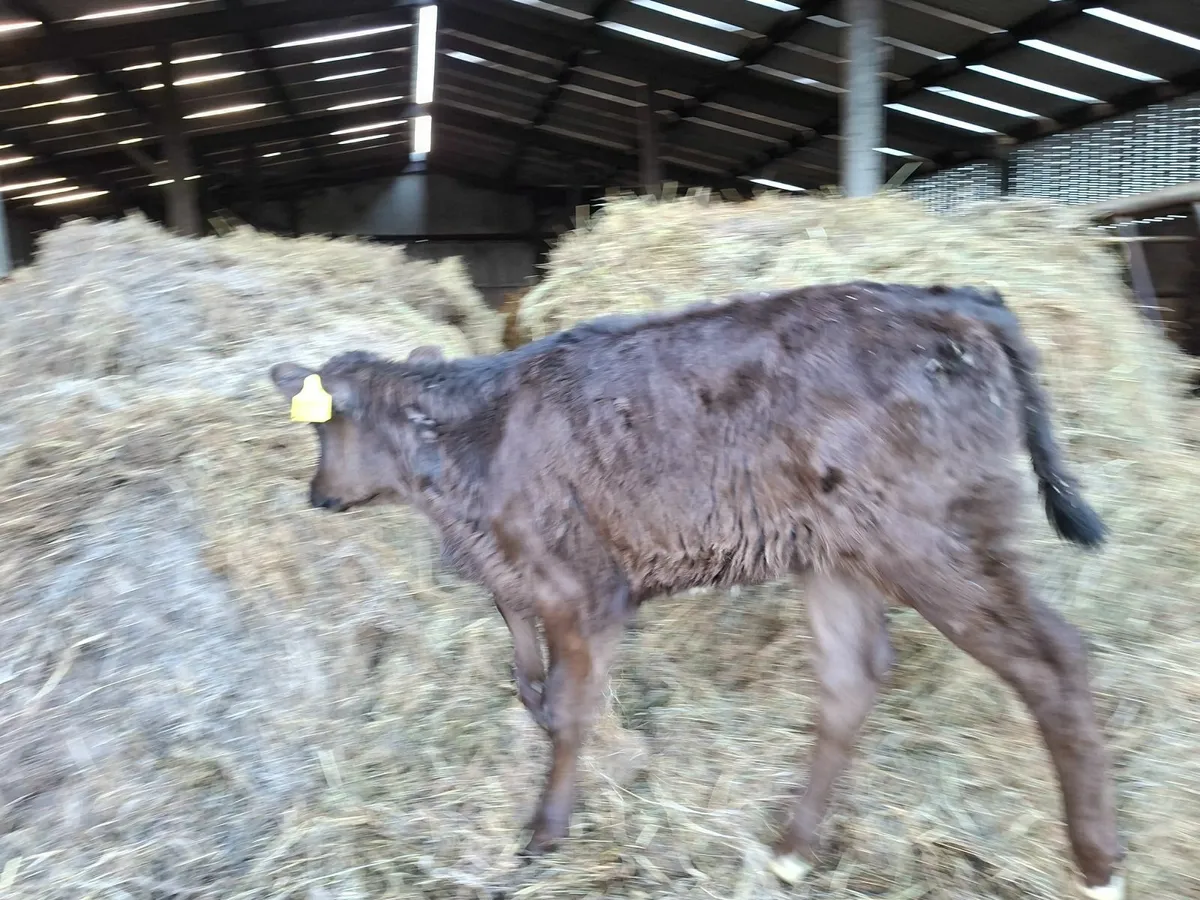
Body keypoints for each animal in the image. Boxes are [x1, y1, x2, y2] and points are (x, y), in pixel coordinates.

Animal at [269, 282, 1123, 899]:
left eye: (323, 423)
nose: (317, 496)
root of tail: (957, 300)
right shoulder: (523, 588)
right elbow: (530, 685)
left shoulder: (584, 592)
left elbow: (569, 716)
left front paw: (545, 835)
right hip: (838, 551)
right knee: (852, 680)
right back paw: (790, 853)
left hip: (933, 537)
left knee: (1055, 660)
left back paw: (1099, 865)